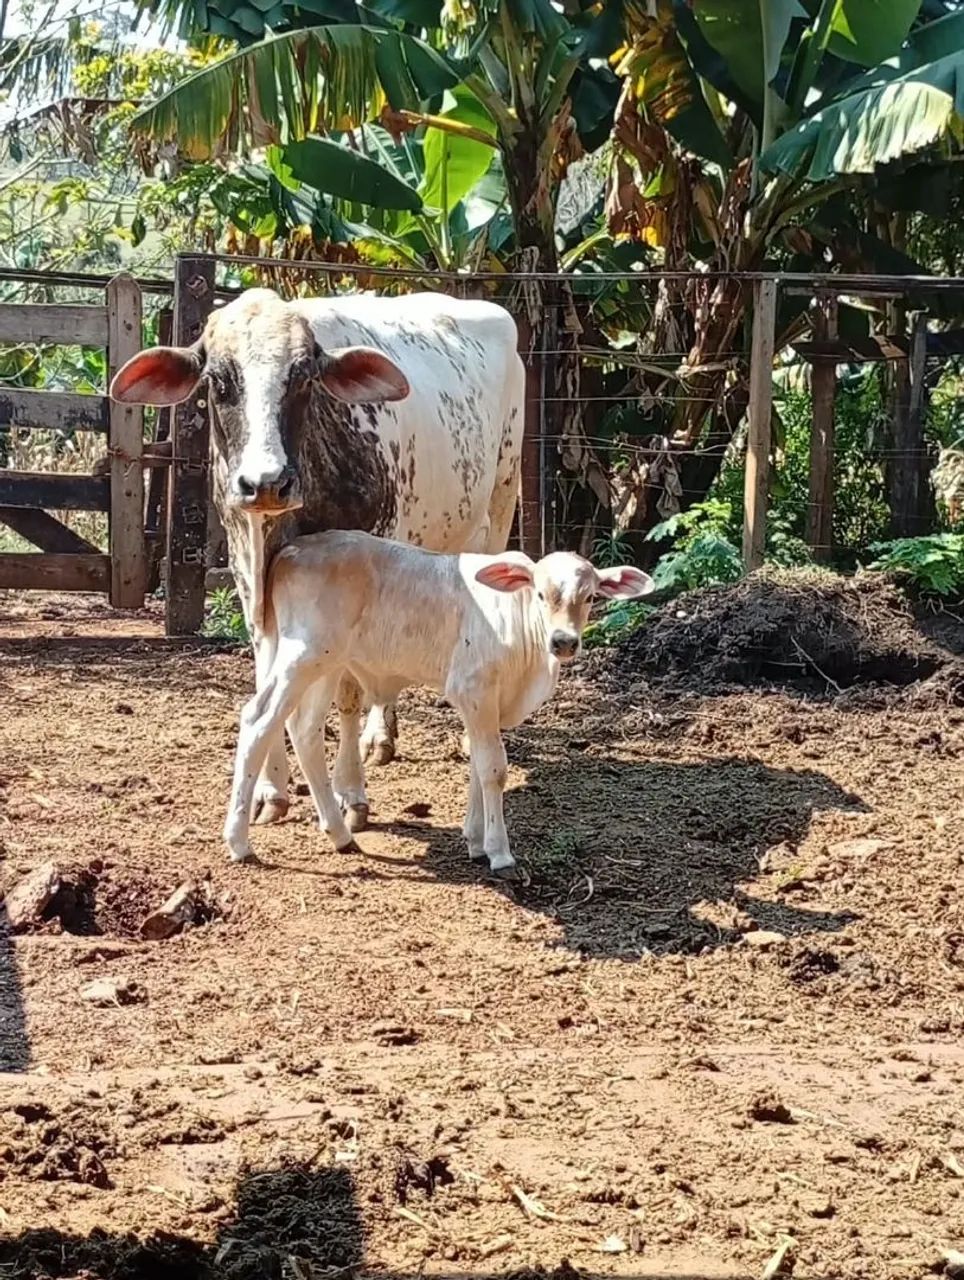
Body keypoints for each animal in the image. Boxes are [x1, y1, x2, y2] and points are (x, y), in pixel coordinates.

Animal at [110, 287, 524, 833]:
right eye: (219, 380)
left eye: (304, 377)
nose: (266, 482)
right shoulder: (250, 578)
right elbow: (269, 683)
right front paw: (270, 791)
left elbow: (346, 692)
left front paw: (350, 795)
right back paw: (380, 734)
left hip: (499, 507)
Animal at [222, 531, 654, 873]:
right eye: (541, 593)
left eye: (590, 596)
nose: (564, 641)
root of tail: (292, 550)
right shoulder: (473, 689)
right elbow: (494, 768)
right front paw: (499, 853)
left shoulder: (485, 704)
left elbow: (478, 763)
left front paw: (475, 841)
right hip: (301, 656)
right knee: (259, 719)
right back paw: (239, 842)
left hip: (326, 664)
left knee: (304, 729)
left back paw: (340, 834)